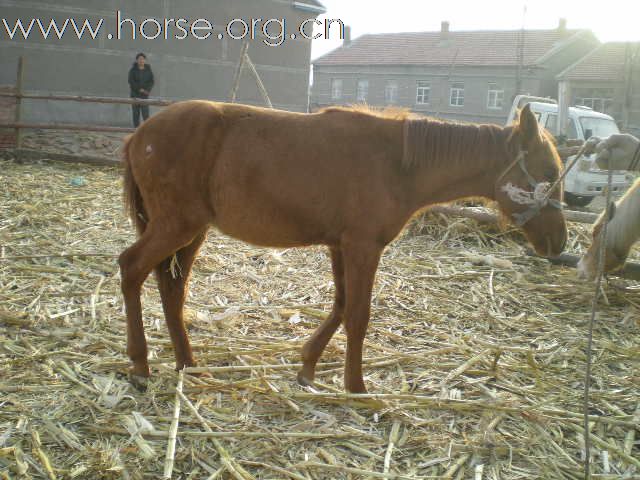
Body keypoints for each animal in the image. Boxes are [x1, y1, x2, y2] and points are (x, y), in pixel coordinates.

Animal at [119, 99, 564, 392]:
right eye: (547, 172)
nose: (558, 242)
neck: (398, 164)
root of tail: (140, 134)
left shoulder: (340, 246)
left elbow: (340, 305)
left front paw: (308, 366)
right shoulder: (363, 247)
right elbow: (358, 315)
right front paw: (356, 385)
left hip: (192, 232)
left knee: (172, 288)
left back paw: (187, 364)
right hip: (176, 226)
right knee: (131, 268)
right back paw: (140, 364)